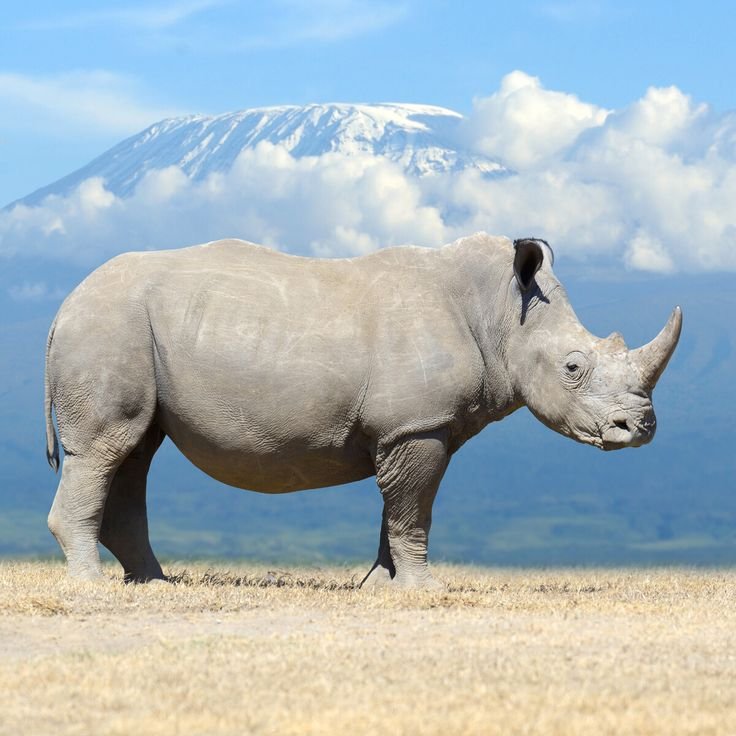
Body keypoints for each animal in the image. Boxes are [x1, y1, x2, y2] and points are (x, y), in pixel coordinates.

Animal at [44, 233, 681, 587]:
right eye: (573, 367)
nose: (640, 429)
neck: (501, 312)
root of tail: (63, 305)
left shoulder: (409, 428)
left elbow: (396, 509)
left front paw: (380, 585)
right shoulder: (417, 426)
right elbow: (414, 509)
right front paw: (424, 589)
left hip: (126, 328)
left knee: (134, 452)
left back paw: (155, 584)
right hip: (108, 324)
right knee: (105, 450)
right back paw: (94, 585)